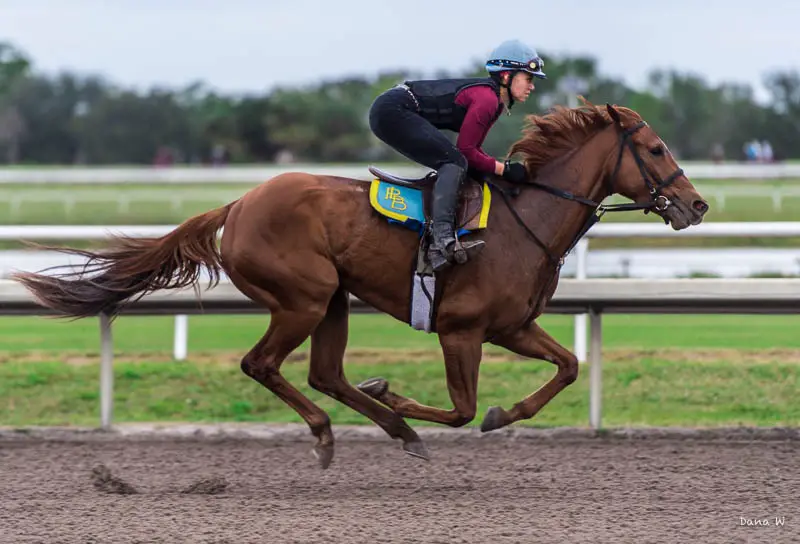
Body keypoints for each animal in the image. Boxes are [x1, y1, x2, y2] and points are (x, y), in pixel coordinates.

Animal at [12, 101, 708, 468]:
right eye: (655, 147)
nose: (697, 205)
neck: (525, 218)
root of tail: (238, 203)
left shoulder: (512, 326)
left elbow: (566, 367)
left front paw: (500, 413)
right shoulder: (461, 331)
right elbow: (460, 410)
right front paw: (406, 399)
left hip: (334, 300)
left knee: (325, 372)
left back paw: (387, 427)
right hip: (304, 296)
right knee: (262, 364)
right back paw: (335, 431)